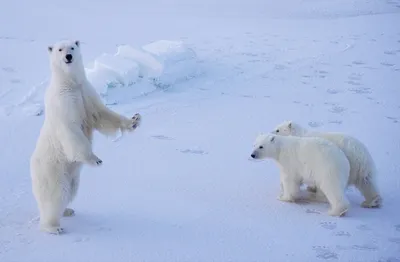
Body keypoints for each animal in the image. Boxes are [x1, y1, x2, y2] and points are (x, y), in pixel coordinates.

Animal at [30, 40, 142, 234]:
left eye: (72, 47)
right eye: (60, 49)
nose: (68, 57)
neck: (70, 84)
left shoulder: (86, 93)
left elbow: (101, 114)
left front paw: (134, 120)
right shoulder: (64, 102)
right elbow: (72, 129)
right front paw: (95, 159)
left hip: (72, 175)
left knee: (71, 190)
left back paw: (68, 210)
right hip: (51, 169)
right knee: (55, 195)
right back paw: (53, 226)